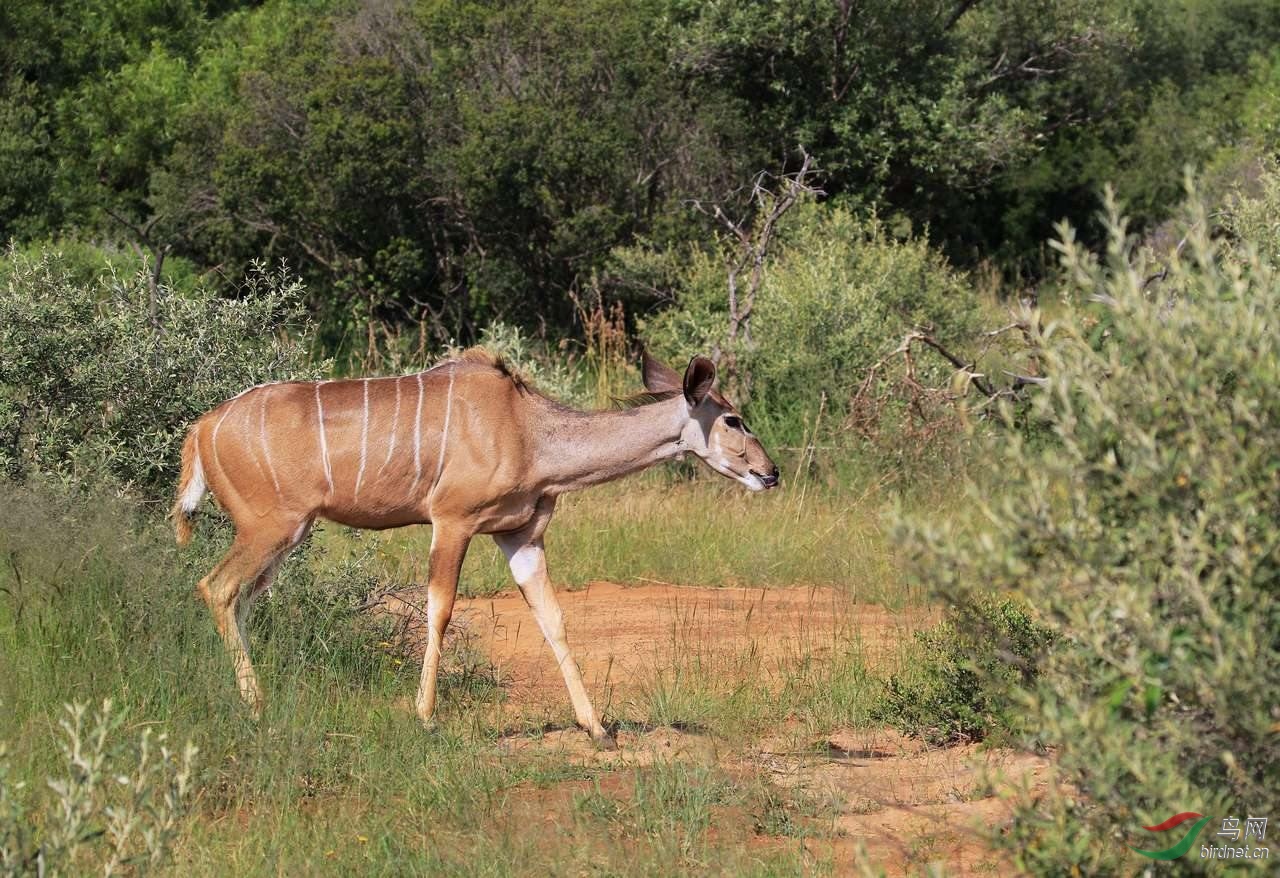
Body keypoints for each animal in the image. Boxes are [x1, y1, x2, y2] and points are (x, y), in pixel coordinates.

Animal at [171, 348, 778, 747]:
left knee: (241, 600)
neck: (529, 432)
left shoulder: (520, 536)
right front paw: (426, 718)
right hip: (268, 527)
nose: (770, 473)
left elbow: (554, 619)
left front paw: (598, 729)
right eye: (733, 418)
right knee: (215, 587)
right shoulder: (452, 521)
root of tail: (202, 430)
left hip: (286, 534)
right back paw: (257, 710)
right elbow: (440, 610)